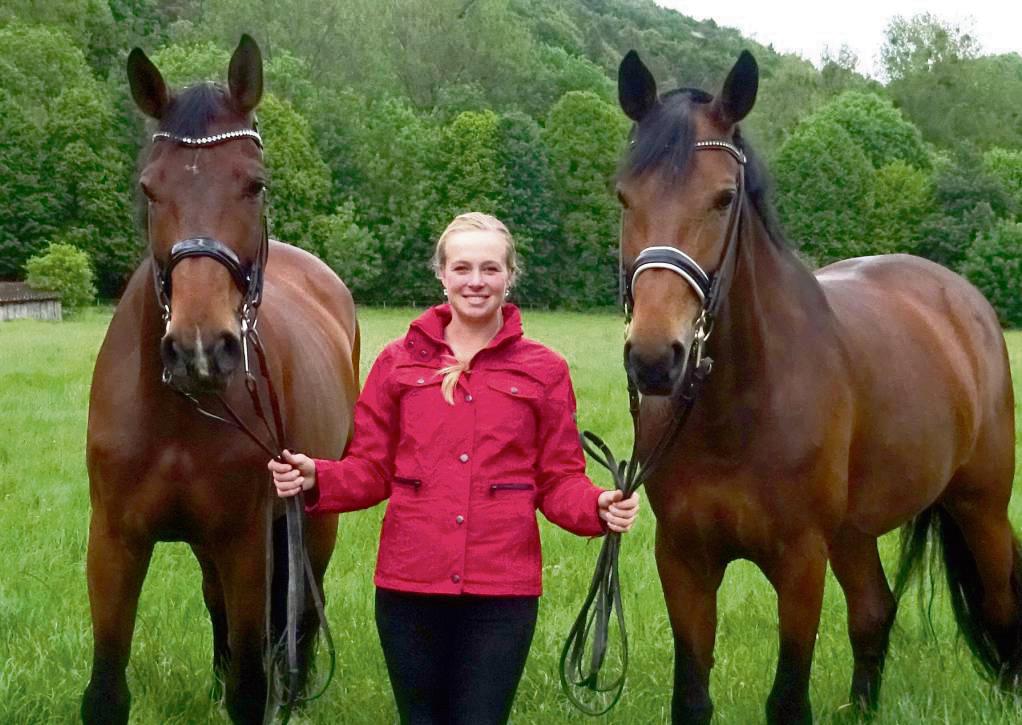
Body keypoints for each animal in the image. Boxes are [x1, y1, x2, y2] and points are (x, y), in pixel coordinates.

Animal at [80, 36, 359, 719]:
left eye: (254, 184)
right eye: (149, 188)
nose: (200, 350)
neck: (175, 415)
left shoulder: (244, 544)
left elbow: (252, 689)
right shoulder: (114, 543)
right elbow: (106, 691)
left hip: (313, 521)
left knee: (304, 615)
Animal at [613, 48, 1021, 719]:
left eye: (724, 198)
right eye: (623, 196)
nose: (653, 359)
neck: (739, 407)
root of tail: (963, 298)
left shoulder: (800, 560)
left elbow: (787, 699)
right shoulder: (683, 559)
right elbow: (692, 698)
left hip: (978, 505)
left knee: (1001, 601)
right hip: (855, 532)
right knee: (874, 611)